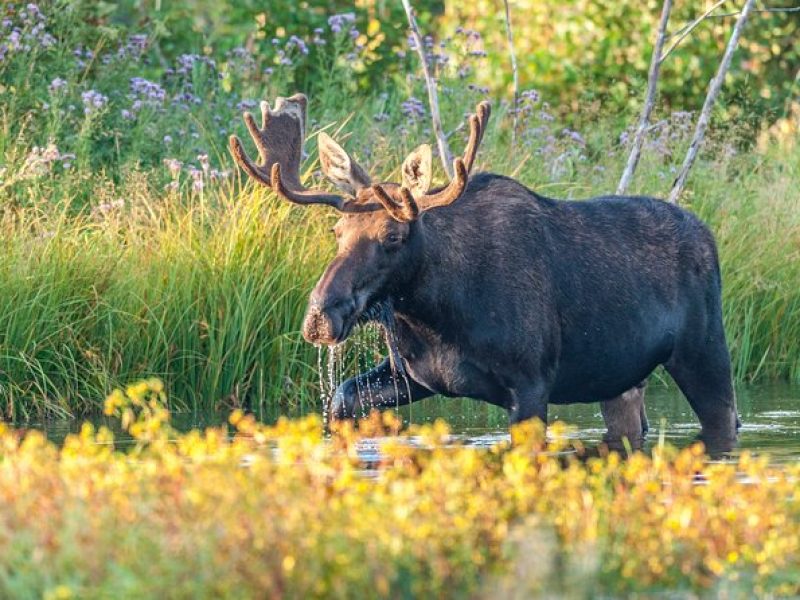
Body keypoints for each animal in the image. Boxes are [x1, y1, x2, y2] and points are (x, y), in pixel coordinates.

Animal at [228, 94, 740, 450]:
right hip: (620, 377)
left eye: (393, 236)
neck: (437, 312)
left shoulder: (532, 381)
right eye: (337, 230)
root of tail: (709, 236)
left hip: (704, 350)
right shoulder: (415, 374)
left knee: (725, 420)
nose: (320, 315)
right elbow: (342, 398)